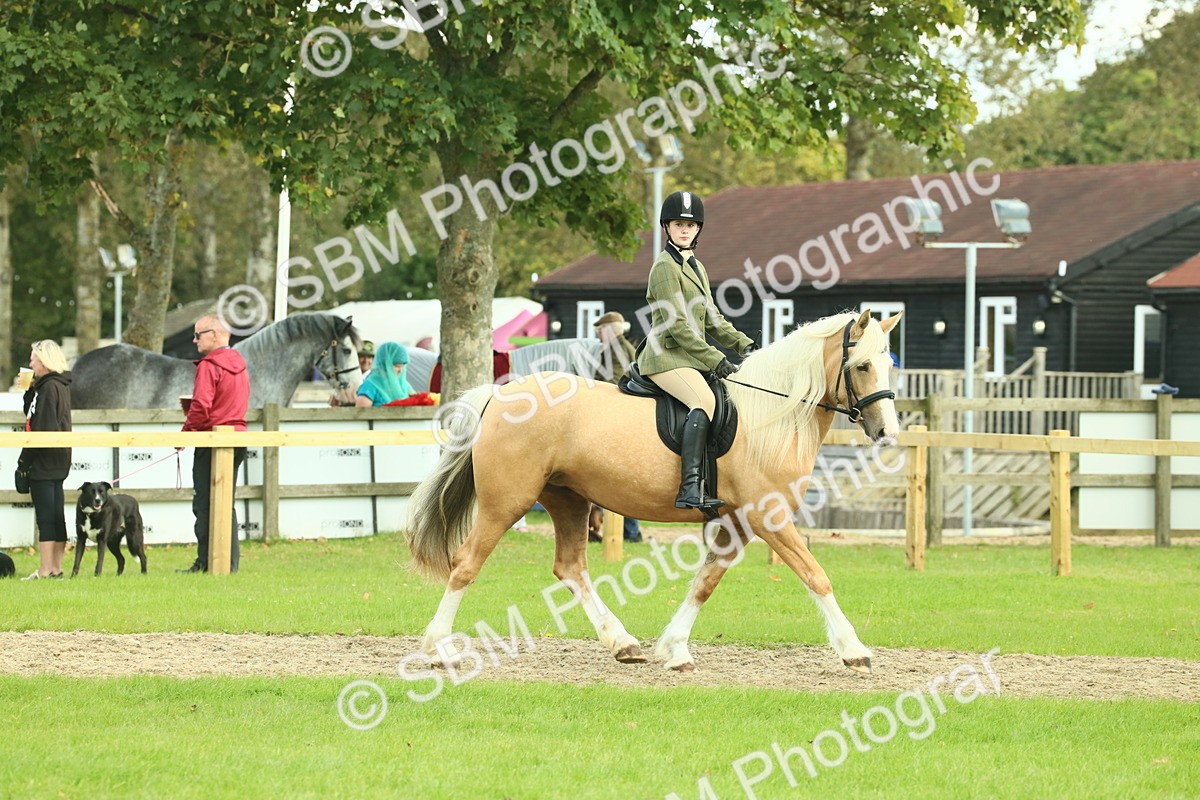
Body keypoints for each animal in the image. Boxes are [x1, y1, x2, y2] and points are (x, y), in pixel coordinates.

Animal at [406, 309, 902, 673]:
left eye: (889, 364)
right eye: (861, 366)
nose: (887, 432)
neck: (771, 416)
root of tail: (501, 394)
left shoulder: (738, 523)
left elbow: (705, 583)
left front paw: (675, 648)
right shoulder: (769, 517)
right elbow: (816, 575)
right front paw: (854, 650)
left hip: (568, 500)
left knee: (571, 568)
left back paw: (623, 643)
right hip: (506, 503)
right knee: (466, 564)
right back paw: (438, 649)